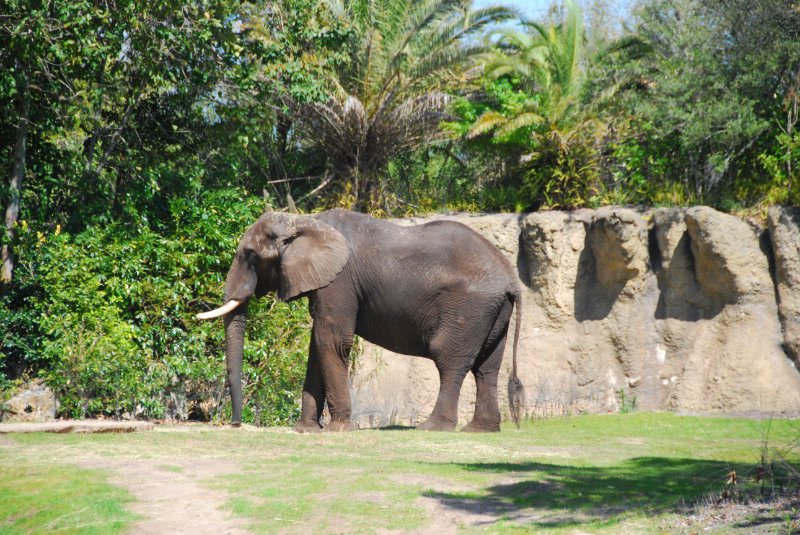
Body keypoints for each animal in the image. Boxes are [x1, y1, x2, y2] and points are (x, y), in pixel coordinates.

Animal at [197, 207, 524, 434]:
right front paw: (306, 430)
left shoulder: (340, 281)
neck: (304, 220)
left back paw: (432, 428)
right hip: (492, 313)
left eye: (251, 256)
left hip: (468, 309)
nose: (235, 424)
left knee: (451, 361)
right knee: (487, 368)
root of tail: (511, 280)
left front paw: (337, 430)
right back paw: (480, 430)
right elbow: (317, 346)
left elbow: (331, 340)